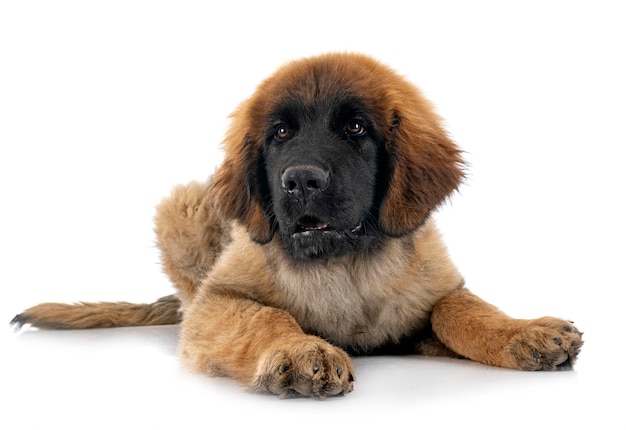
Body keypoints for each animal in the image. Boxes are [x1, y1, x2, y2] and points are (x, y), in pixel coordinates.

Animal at [12, 52, 584, 398]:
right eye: (281, 133)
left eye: (356, 128)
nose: (302, 181)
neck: (345, 267)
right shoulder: (219, 301)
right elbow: (266, 317)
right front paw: (300, 350)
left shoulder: (431, 294)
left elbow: (460, 309)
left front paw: (524, 332)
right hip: (183, 208)